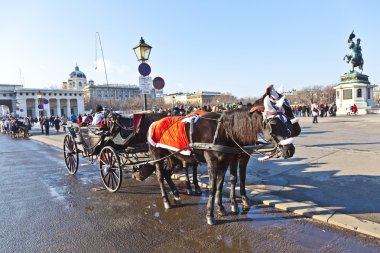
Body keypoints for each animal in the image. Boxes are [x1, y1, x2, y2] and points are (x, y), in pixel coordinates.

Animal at [148, 106, 294, 225]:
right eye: (273, 124)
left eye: (286, 121)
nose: (290, 150)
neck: (224, 132)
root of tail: (155, 122)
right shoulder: (214, 162)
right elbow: (213, 187)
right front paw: (210, 214)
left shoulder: (227, 161)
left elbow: (222, 184)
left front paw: (221, 207)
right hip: (159, 157)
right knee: (160, 175)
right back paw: (167, 200)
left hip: (175, 157)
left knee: (168, 173)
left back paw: (176, 194)